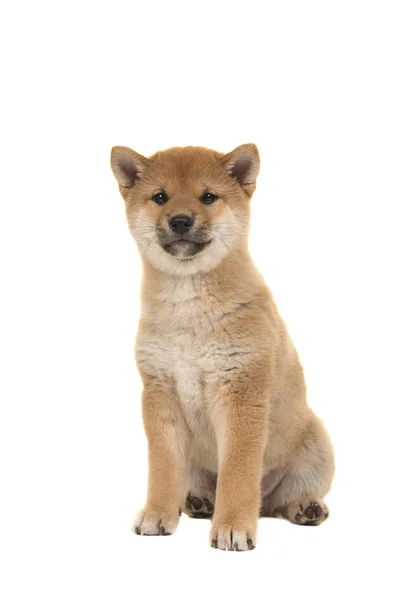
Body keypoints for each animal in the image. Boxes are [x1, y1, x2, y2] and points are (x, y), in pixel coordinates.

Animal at [109, 143, 334, 552]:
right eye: (160, 197)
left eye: (208, 196)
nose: (180, 220)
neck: (189, 309)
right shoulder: (159, 393)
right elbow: (162, 467)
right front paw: (157, 514)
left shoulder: (241, 393)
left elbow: (237, 474)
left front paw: (232, 527)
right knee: (205, 486)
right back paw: (198, 501)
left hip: (316, 445)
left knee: (287, 496)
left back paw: (305, 507)